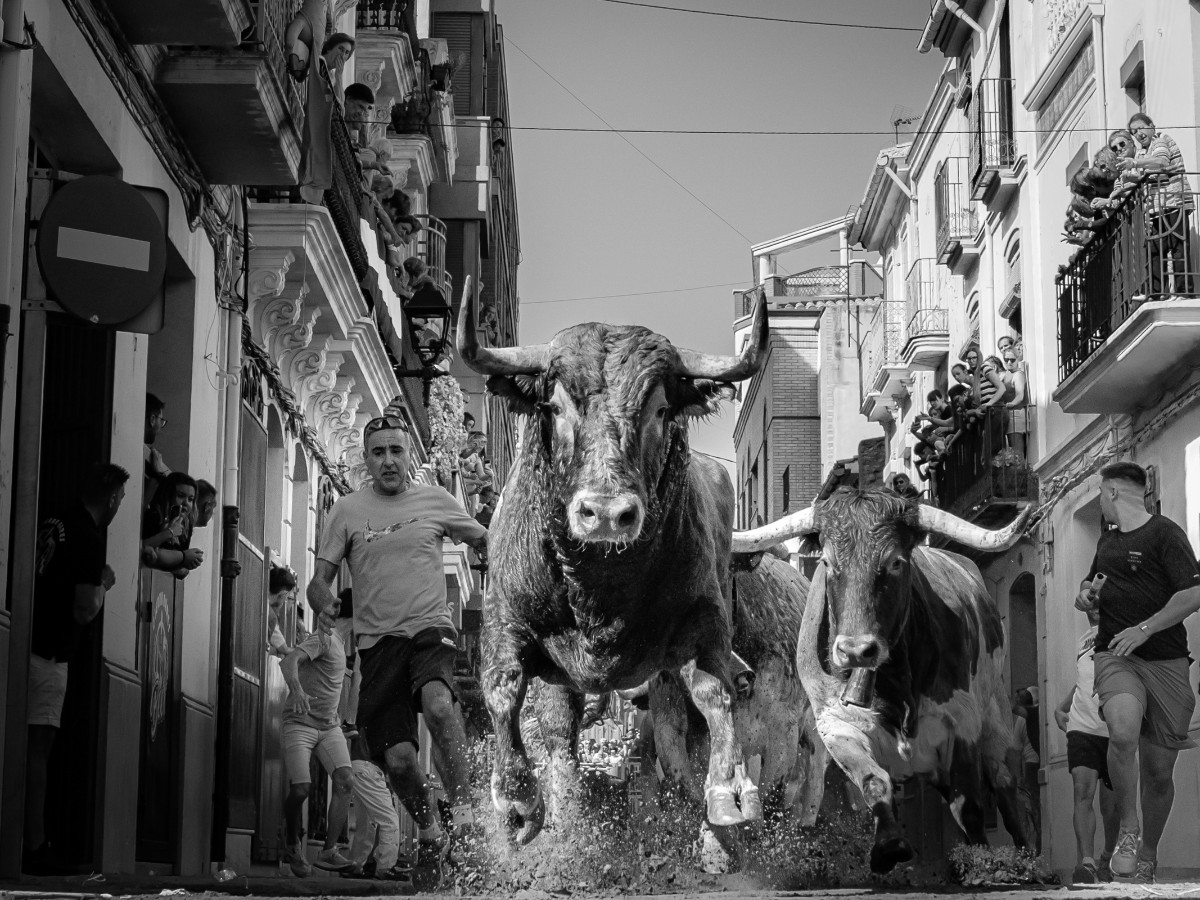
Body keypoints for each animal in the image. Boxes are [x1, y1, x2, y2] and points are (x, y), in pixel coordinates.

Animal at [458, 285, 768, 844]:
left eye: (662, 410)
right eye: (555, 406)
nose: (605, 513)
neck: (600, 587)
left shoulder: (704, 615)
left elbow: (714, 691)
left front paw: (730, 788)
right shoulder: (503, 618)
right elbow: (503, 689)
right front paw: (517, 797)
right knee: (560, 732)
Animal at [734, 494, 1036, 873]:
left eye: (894, 562)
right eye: (828, 562)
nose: (855, 650)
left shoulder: (961, 723)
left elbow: (969, 806)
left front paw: (979, 859)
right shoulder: (835, 725)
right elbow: (874, 783)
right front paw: (889, 845)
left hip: (995, 711)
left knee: (1004, 781)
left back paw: (1025, 860)